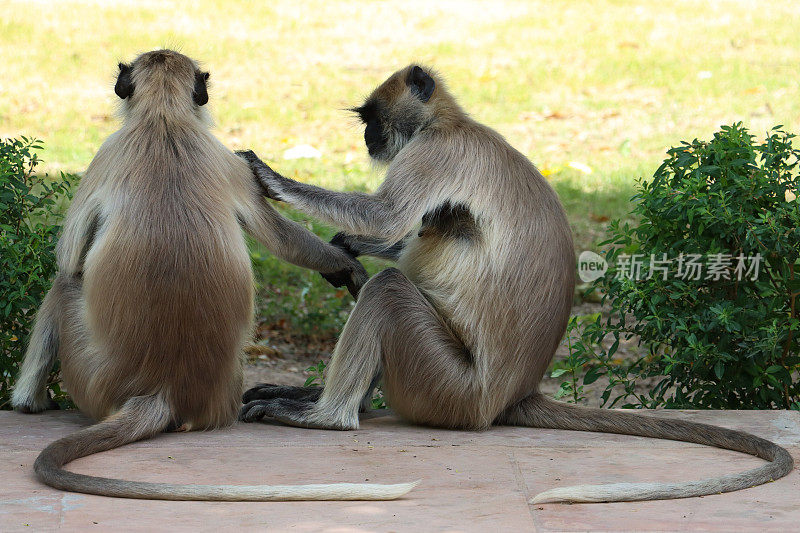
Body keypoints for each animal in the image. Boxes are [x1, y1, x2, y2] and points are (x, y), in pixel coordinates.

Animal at [10, 47, 418, 500]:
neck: (165, 118)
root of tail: (163, 387)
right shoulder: (229, 161)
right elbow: (280, 237)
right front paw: (343, 263)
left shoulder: (106, 151)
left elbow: (68, 258)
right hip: (221, 396)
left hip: (92, 379)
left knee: (64, 285)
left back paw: (27, 402)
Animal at [238, 65, 792, 502]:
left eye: (374, 118)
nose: (368, 137)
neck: (448, 122)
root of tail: (511, 394)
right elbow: (400, 233)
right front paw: (347, 247)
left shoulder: (435, 151)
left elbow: (389, 217)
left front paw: (270, 176)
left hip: (449, 388)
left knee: (389, 290)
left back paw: (328, 416)